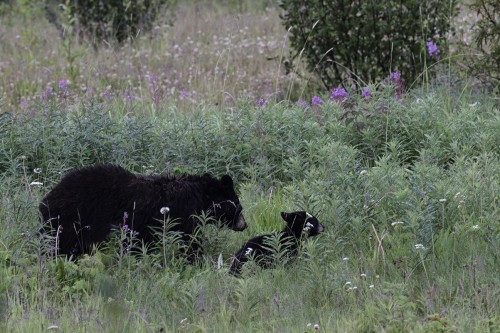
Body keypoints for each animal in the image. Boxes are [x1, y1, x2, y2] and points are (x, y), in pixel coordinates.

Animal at [40, 165, 247, 255]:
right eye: (239, 207)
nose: (244, 225)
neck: (202, 196)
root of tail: (46, 200)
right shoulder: (185, 214)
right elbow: (191, 238)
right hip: (75, 218)